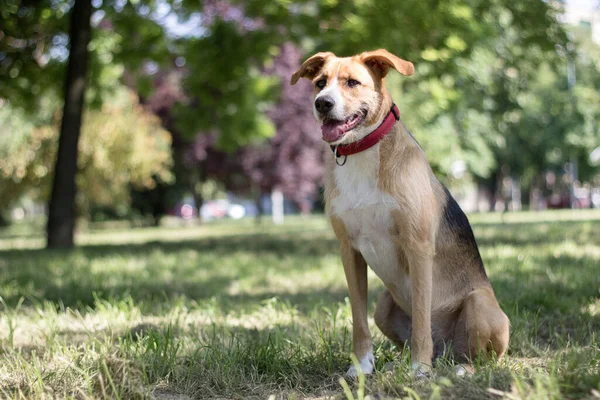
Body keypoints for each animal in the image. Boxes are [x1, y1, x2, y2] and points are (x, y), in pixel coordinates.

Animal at [290, 48, 506, 376]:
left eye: (353, 82)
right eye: (319, 83)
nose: (322, 103)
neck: (362, 151)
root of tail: (446, 351)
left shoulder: (417, 246)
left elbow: (421, 318)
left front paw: (420, 368)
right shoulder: (349, 250)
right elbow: (358, 320)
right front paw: (362, 366)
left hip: (479, 303)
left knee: (481, 356)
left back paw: (459, 368)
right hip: (383, 304)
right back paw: (401, 363)